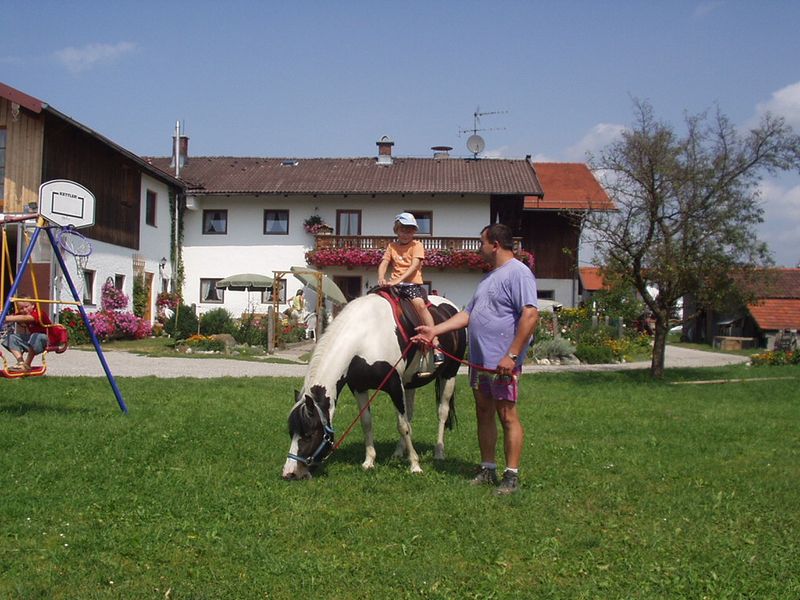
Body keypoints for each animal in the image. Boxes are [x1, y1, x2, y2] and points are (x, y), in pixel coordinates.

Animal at [282, 292, 466, 480]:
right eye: (291, 432)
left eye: (309, 434)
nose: (290, 473)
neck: (366, 337)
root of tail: (451, 306)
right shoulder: (359, 387)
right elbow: (367, 422)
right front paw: (369, 461)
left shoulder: (394, 385)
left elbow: (402, 426)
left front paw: (415, 465)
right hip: (409, 383)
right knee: (409, 414)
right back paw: (399, 452)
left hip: (449, 374)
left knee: (442, 412)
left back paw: (439, 452)